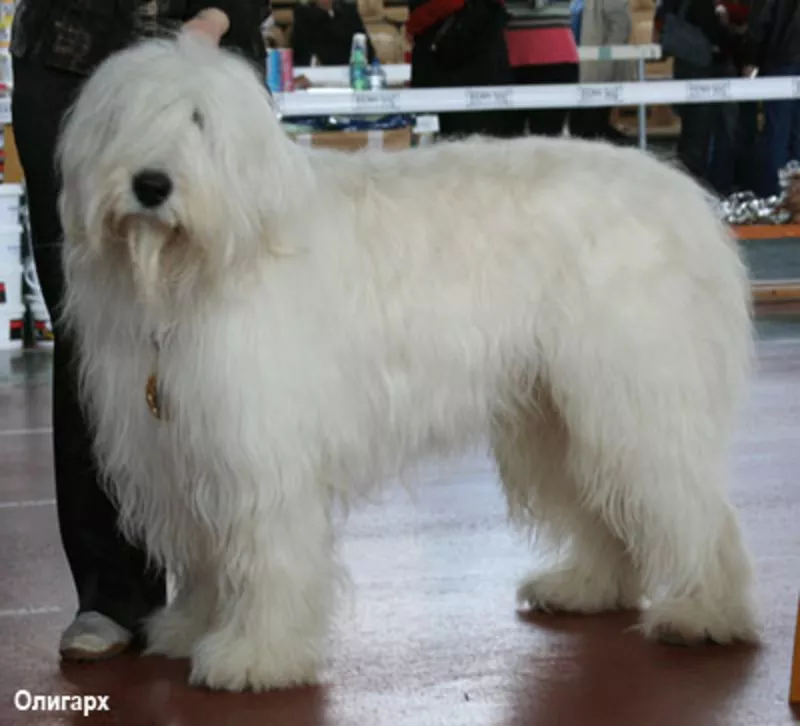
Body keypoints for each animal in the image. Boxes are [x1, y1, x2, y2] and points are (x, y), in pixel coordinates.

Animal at [56, 34, 756, 692]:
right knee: (601, 502)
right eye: (122, 119)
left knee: (692, 507)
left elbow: (266, 553)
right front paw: (191, 627)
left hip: (632, 393)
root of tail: (683, 195)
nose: (151, 185)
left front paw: (256, 654)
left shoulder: (256, 444)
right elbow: (204, 552)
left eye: (199, 121)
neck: (214, 259)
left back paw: (703, 613)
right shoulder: (180, 444)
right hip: (555, 411)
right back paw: (588, 586)